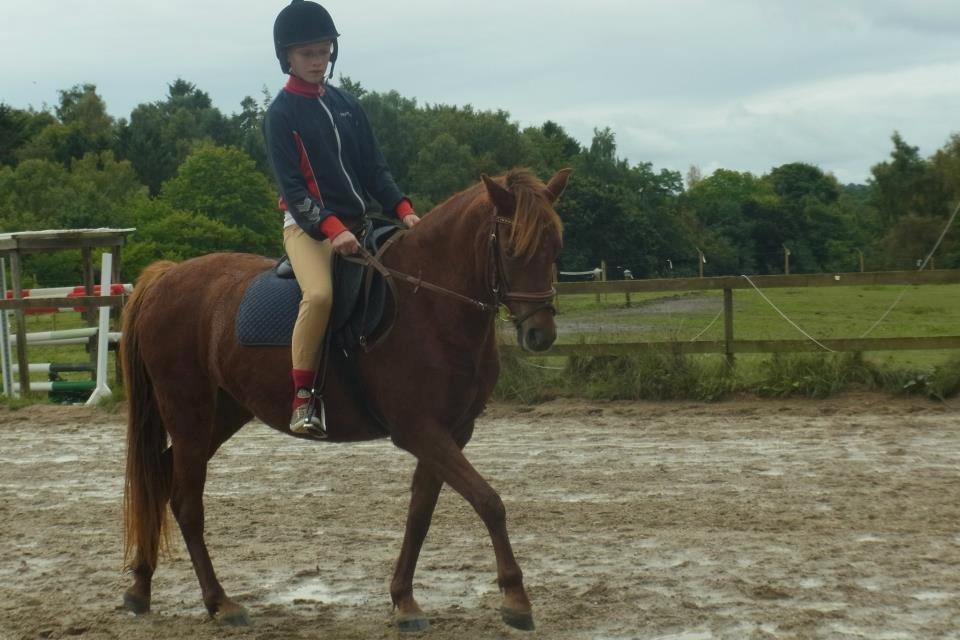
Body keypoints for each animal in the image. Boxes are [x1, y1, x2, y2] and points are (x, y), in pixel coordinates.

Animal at [121, 167, 571, 632]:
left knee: (161, 480)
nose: (540, 334)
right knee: (187, 504)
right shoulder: (420, 430)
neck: (429, 302)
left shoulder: (453, 432)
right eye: (514, 249)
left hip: (222, 413)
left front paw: (404, 600)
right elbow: (488, 501)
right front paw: (516, 598)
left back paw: (141, 587)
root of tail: (166, 278)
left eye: (556, 246)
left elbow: (420, 512)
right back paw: (220, 602)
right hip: (188, 412)